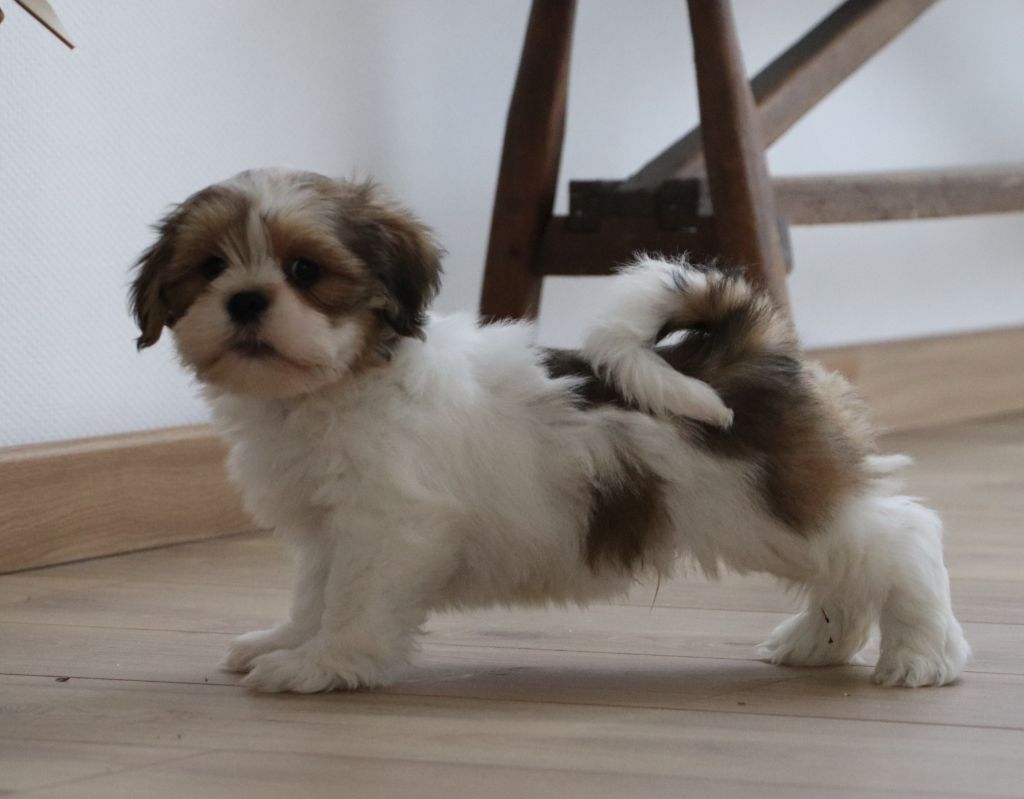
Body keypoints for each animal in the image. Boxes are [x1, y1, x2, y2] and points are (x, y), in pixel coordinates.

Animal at [130, 167, 969, 693]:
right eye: (209, 267)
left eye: (305, 270)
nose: (244, 300)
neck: (346, 379)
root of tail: (744, 345)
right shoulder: (328, 522)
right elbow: (315, 588)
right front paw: (290, 640)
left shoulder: (389, 521)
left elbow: (354, 597)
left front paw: (325, 663)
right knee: (854, 560)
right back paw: (819, 641)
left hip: (766, 502)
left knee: (902, 538)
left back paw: (922, 654)